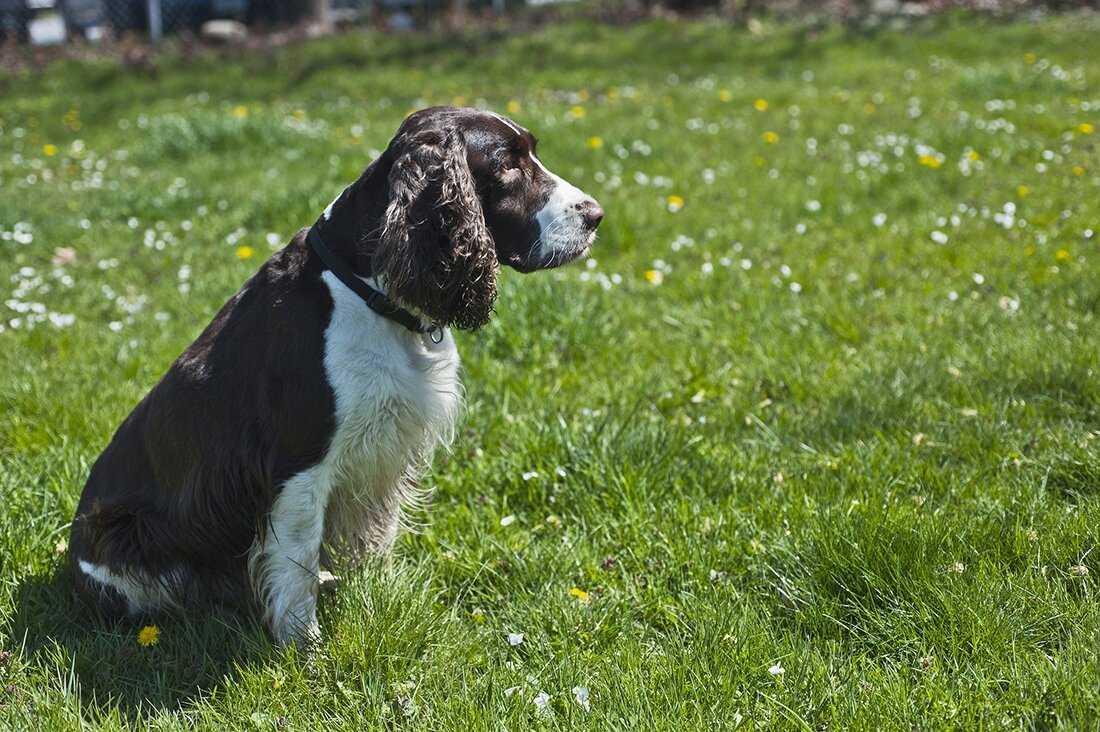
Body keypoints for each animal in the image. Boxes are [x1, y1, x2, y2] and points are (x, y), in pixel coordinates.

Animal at [70, 105, 602, 642]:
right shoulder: (299, 463)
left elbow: (376, 532)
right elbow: (297, 561)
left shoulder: (385, 448)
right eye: (507, 164)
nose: (596, 215)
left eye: (531, 151)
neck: (366, 289)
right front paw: (304, 646)